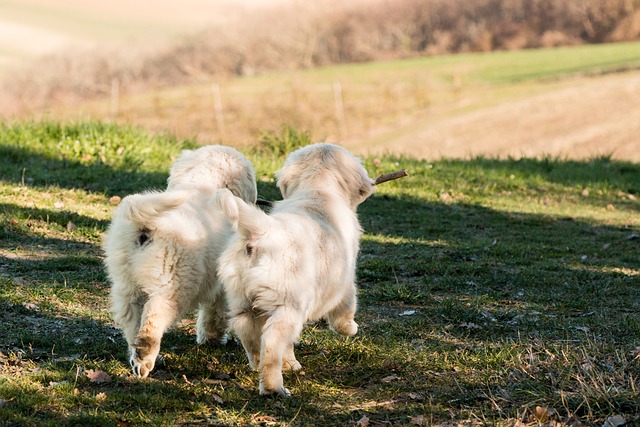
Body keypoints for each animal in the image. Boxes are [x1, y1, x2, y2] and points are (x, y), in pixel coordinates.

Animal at [104, 146, 256, 378]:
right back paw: (145, 359)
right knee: (152, 323)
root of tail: (145, 225)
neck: (203, 185)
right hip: (171, 286)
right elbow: (215, 313)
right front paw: (212, 338)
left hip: (126, 285)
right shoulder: (220, 285)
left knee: (132, 323)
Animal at [216, 145, 376, 398]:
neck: (317, 191)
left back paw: (258, 364)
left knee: (248, 332)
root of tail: (261, 231)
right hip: (289, 304)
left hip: (242, 299)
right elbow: (346, 308)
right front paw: (350, 328)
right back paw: (273, 387)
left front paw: (290, 363)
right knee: (272, 341)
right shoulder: (344, 280)